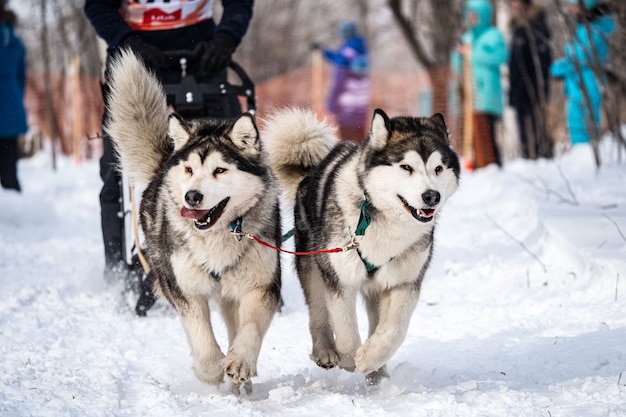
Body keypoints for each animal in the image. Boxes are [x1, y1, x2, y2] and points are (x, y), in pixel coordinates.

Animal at [105, 50, 280, 392]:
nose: (192, 197)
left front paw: (240, 361)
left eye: (220, 170)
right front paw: (211, 371)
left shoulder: (261, 286)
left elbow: (250, 328)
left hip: (232, 290)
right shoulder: (183, 289)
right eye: (189, 169)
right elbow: (202, 339)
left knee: (235, 324)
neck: (218, 235)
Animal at [264, 107, 458, 384]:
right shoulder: (339, 278)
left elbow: (395, 330)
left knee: (376, 322)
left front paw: (369, 358)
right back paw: (325, 350)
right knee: (318, 312)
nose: (431, 196)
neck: (384, 219)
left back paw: (378, 373)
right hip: (313, 264)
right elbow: (345, 328)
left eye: (438, 168)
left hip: (376, 288)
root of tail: (309, 174)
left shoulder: (405, 282)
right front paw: (349, 359)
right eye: (406, 167)